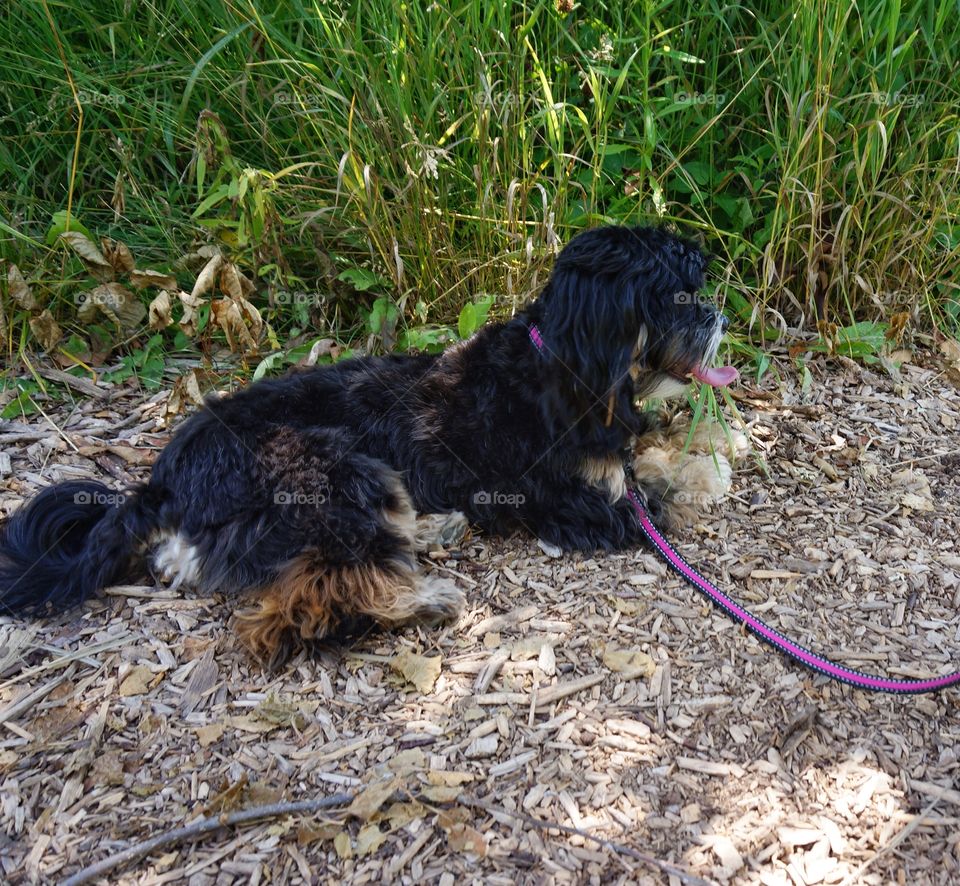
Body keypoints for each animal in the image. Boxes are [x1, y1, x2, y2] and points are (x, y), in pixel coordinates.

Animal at [0, 225, 740, 664]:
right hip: (331, 471)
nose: (718, 314)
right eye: (677, 298)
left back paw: (434, 530)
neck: (565, 364)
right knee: (299, 607)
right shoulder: (567, 499)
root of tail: (163, 480)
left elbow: (658, 449)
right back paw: (415, 600)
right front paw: (701, 476)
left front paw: (721, 448)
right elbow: (656, 496)